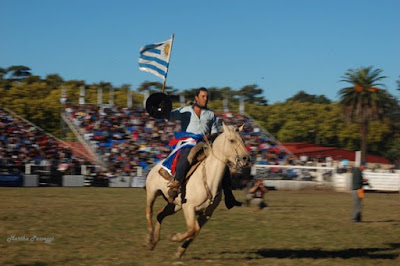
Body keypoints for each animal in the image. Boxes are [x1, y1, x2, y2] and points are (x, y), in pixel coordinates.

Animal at [145, 123, 248, 260]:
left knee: (159, 214)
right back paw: (149, 240)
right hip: (152, 193)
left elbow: (195, 230)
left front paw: (178, 252)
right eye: (232, 140)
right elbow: (193, 229)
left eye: (243, 140)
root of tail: (157, 164)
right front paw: (174, 237)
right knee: (149, 212)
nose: (246, 158)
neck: (209, 178)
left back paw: (154, 242)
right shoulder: (189, 207)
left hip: (175, 205)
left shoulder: (206, 213)